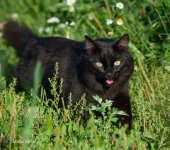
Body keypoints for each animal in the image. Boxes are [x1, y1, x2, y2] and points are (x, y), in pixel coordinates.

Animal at [3, 21, 134, 130]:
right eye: (99, 64)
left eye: (117, 63)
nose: (109, 74)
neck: (104, 90)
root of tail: (31, 41)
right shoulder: (77, 100)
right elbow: (84, 119)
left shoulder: (121, 95)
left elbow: (125, 114)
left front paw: (123, 133)